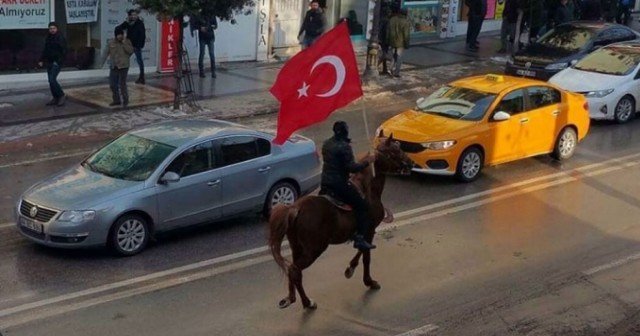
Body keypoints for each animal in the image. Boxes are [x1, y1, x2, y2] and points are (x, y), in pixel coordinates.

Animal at [266, 135, 412, 308]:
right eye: (395, 150)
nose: (410, 163)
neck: (368, 190)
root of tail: (294, 209)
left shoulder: (363, 233)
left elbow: (362, 251)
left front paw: (352, 270)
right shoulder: (369, 231)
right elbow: (366, 255)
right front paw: (365, 279)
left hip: (297, 247)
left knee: (294, 271)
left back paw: (299, 300)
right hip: (314, 249)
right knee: (294, 270)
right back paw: (305, 302)